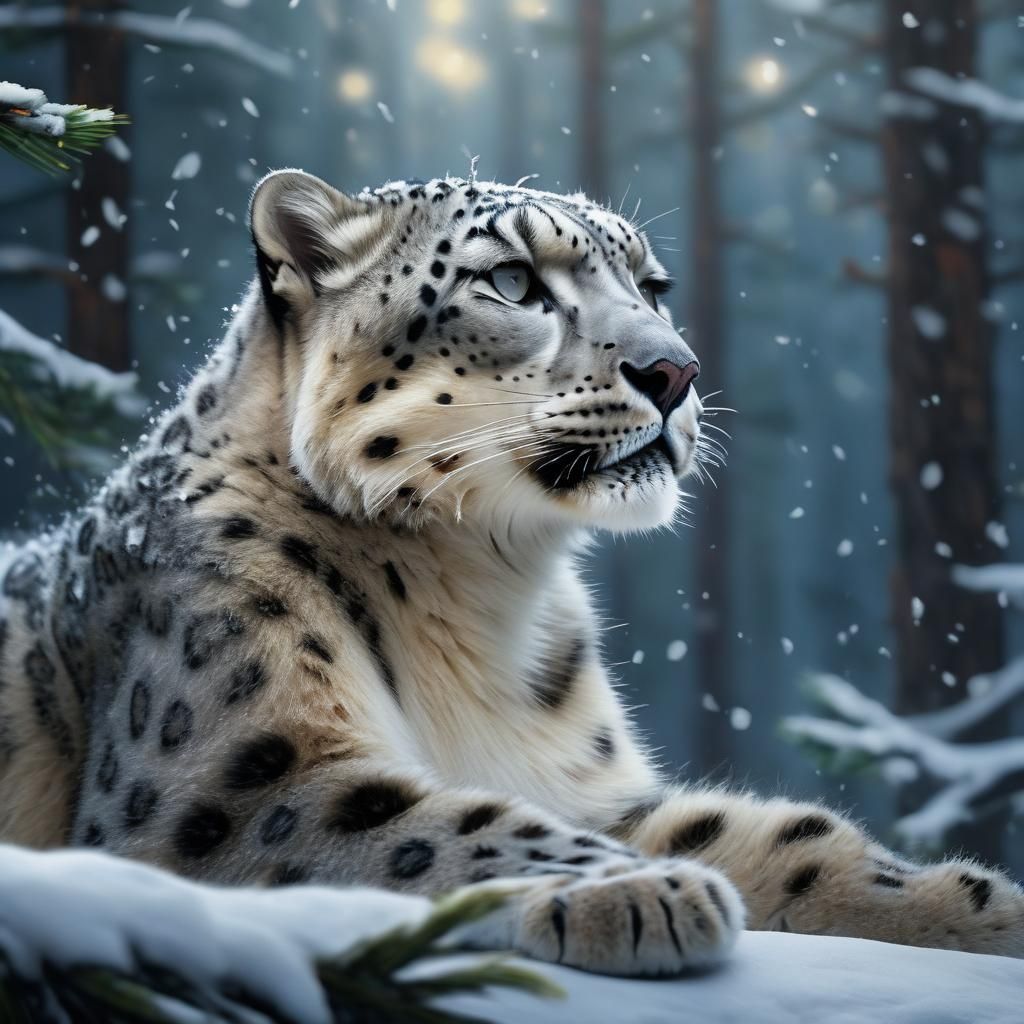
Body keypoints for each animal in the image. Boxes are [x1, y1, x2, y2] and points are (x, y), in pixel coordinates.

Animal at [0, 170, 1020, 975]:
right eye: (512, 280)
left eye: (653, 285)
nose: (676, 371)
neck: (479, 590)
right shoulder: (230, 785)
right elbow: (448, 825)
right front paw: (653, 890)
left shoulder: (589, 788)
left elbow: (792, 839)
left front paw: (983, 909)